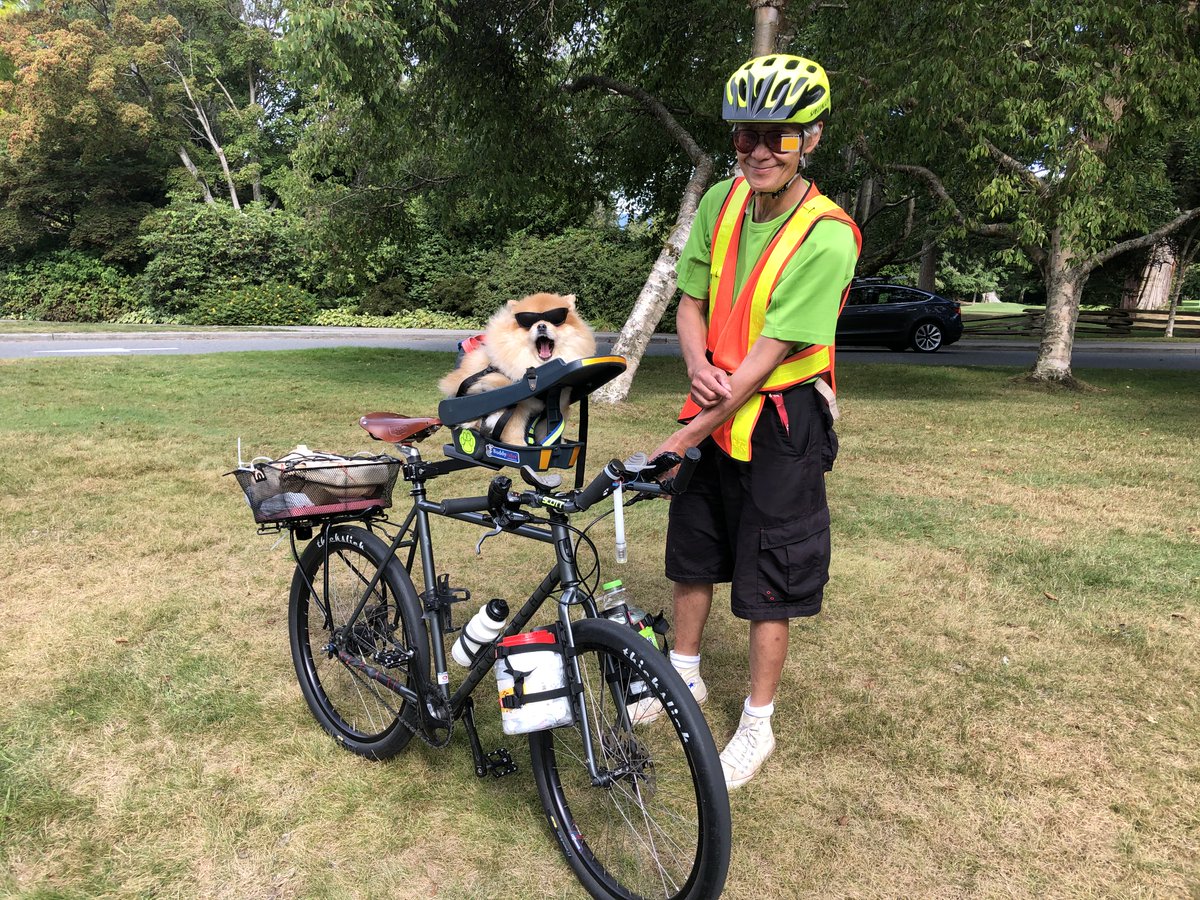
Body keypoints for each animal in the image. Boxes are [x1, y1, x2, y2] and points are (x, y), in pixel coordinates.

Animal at [436, 294, 595, 446]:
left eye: (554, 320)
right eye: (529, 322)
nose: (541, 325)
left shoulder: (558, 402)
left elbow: (550, 429)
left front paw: (555, 442)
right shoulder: (516, 405)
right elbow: (514, 427)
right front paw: (518, 443)